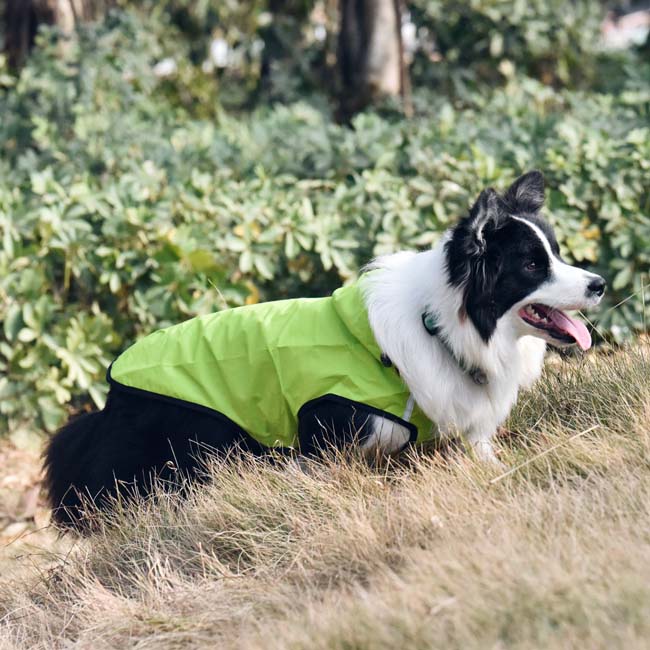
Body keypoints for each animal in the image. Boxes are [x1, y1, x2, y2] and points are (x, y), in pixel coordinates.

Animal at [44, 171, 604, 528]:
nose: (598, 284)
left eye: (555, 254)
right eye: (531, 266)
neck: (441, 325)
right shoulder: (326, 432)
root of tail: (109, 400)